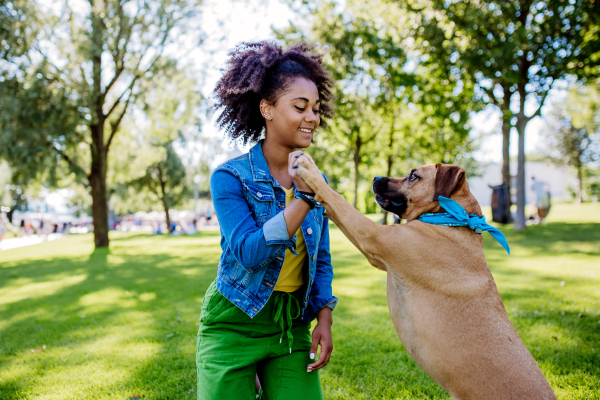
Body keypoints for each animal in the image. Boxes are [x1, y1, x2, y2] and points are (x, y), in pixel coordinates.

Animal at [296, 156, 556, 400]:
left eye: (413, 176)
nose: (376, 178)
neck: (448, 219)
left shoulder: (372, 235)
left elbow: (336, 198)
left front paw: (310, 171)